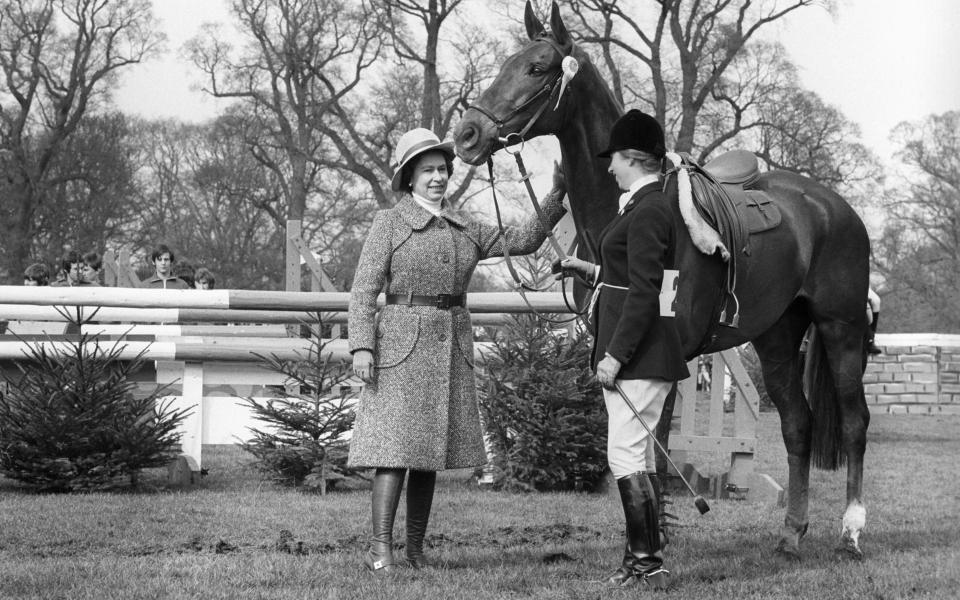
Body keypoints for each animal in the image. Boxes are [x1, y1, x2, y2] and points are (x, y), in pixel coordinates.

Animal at [454, 1, 872, 564]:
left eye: (538, 68)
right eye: (506, 63)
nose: (468, 135)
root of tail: (833, 206)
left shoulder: (662, 350)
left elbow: (653, 448)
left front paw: (655, 542)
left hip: (840, 328)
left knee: (854, 423)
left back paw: (851, 530)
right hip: (777, 335)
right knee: (797, 425)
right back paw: (791, 534)